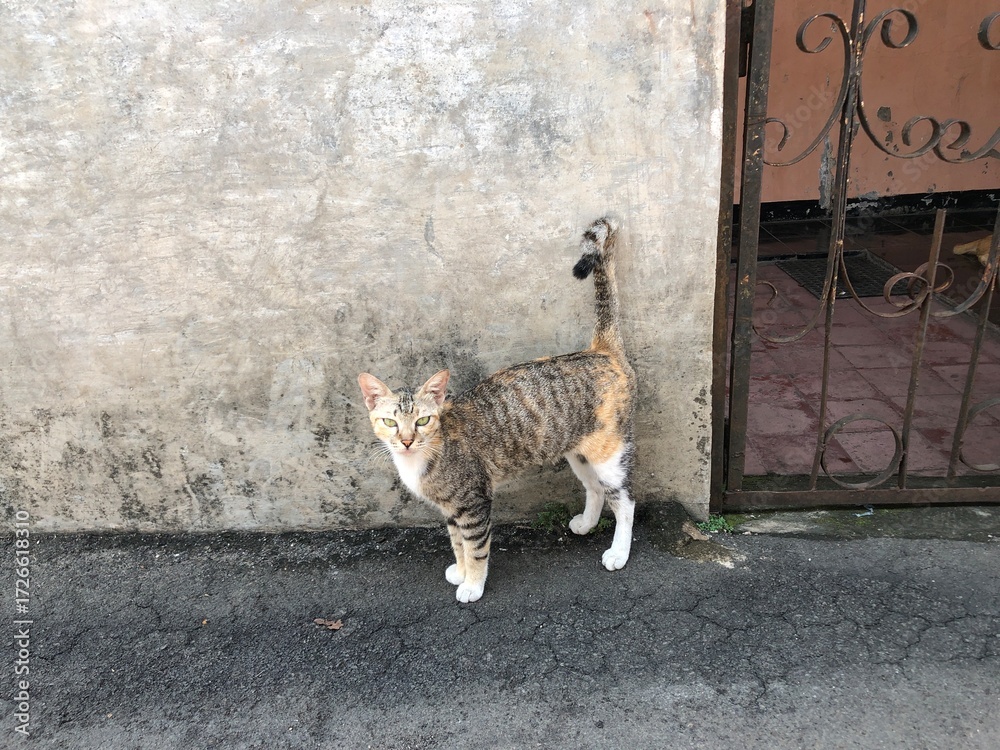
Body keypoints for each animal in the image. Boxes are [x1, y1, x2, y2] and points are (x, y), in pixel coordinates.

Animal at [358, 217, 636, 603]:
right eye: (389, 421)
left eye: (423, 420)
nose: (407, 440)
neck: (422, 457)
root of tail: (600, 349)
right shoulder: (451, 509)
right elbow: (457, 543)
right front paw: (460, 572)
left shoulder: (473, 503)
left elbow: (475, 547)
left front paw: (473, 585)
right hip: (578, 453)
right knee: (594, 488)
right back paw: (586, 523)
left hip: (608, 453)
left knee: (624, 503)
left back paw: (618, 552)